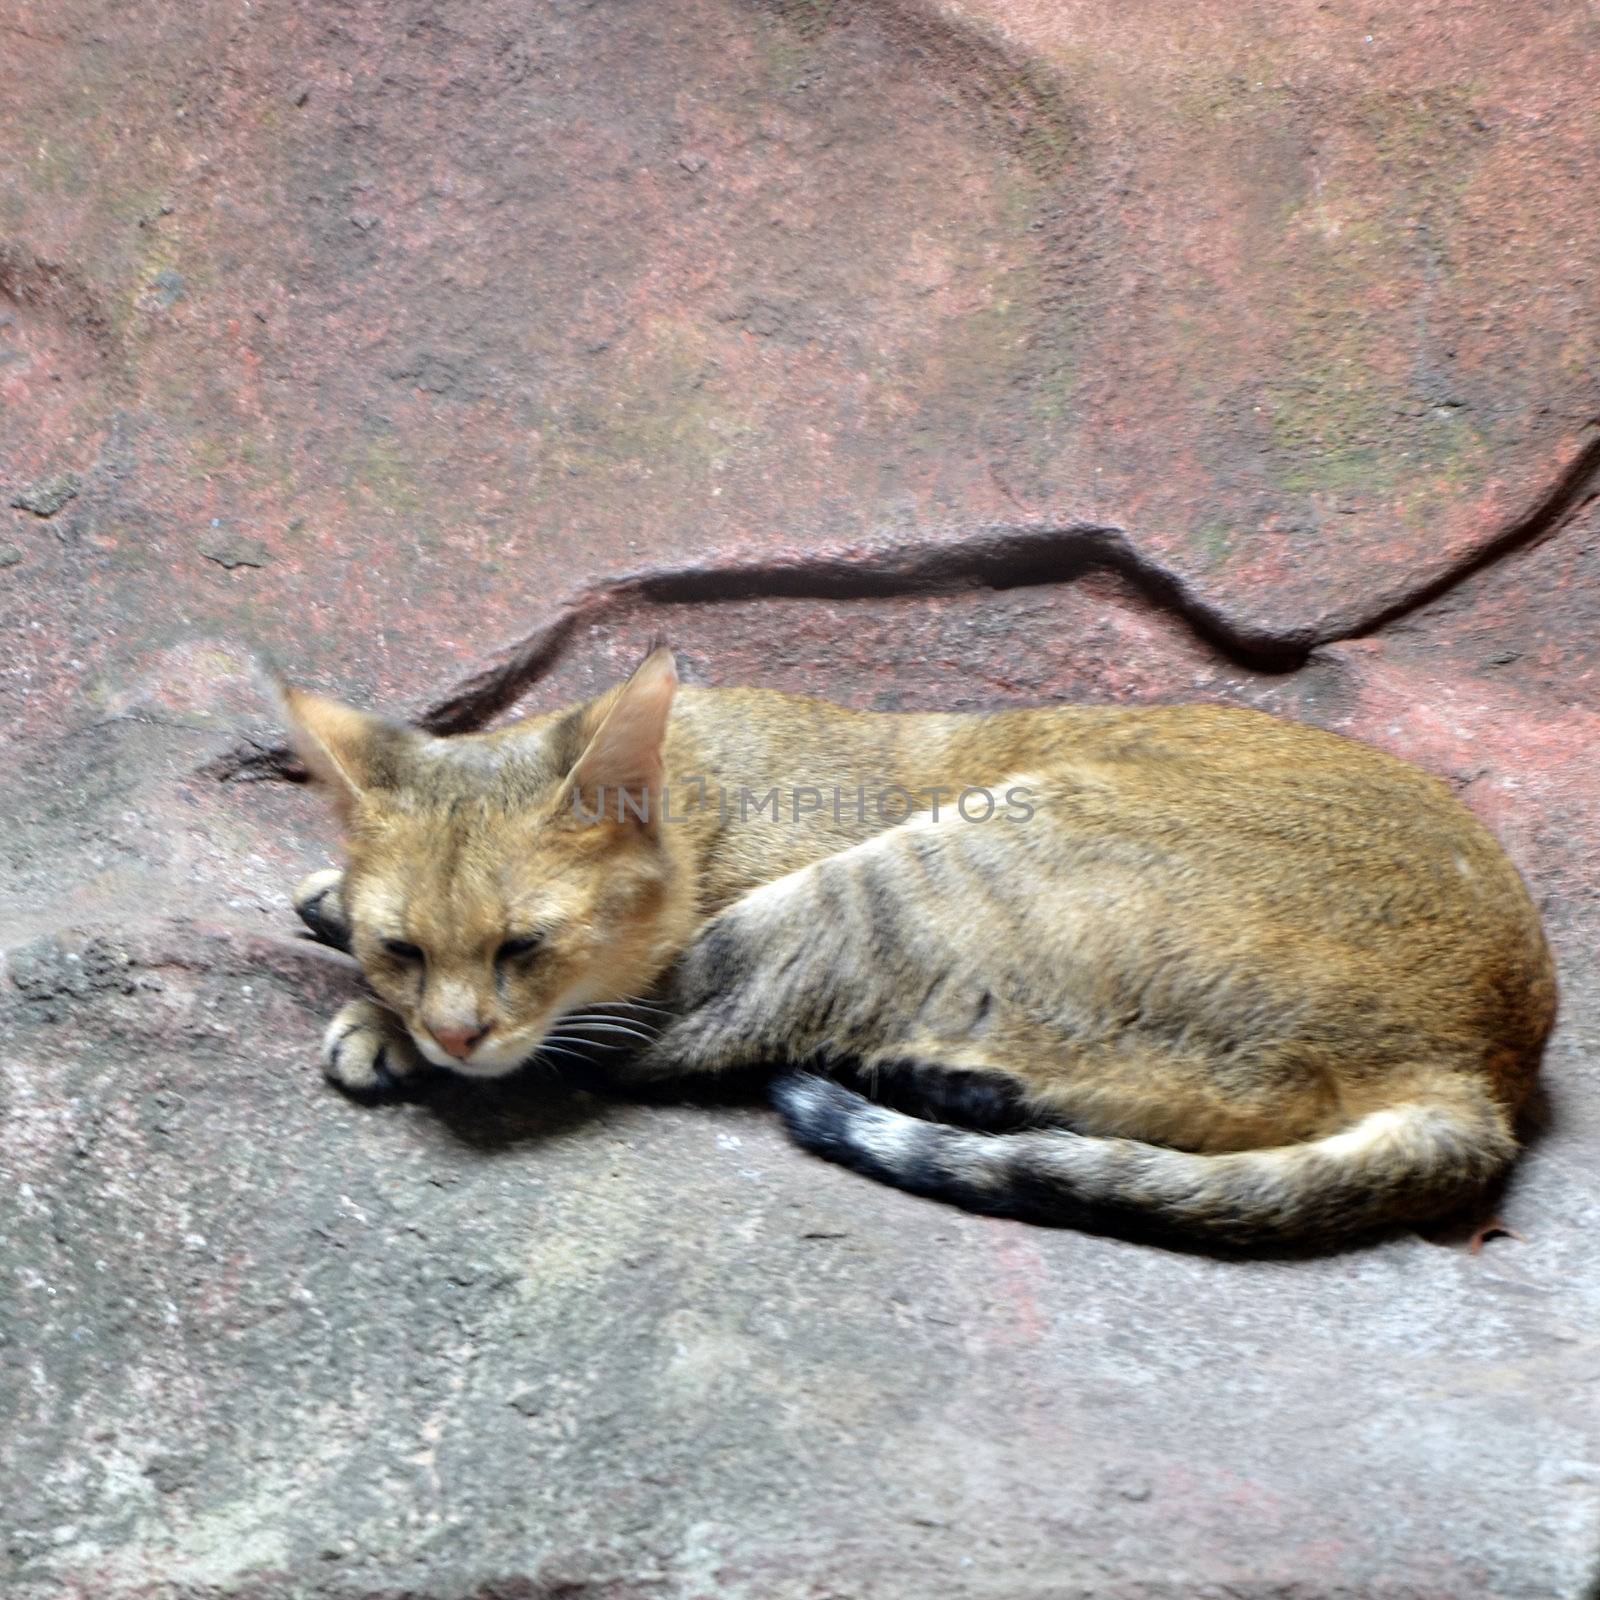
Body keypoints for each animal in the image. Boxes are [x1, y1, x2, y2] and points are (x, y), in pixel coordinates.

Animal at [272, 640, 1548, 1248]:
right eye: (404, 945)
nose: (446, 1028)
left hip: (906, 877)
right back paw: (947, 1081)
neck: (707, 790)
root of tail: (1478, 1072)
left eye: (525, 945)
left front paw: (380, 1026)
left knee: (678, 1044)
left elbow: (601, 1031)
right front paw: (334, 910)